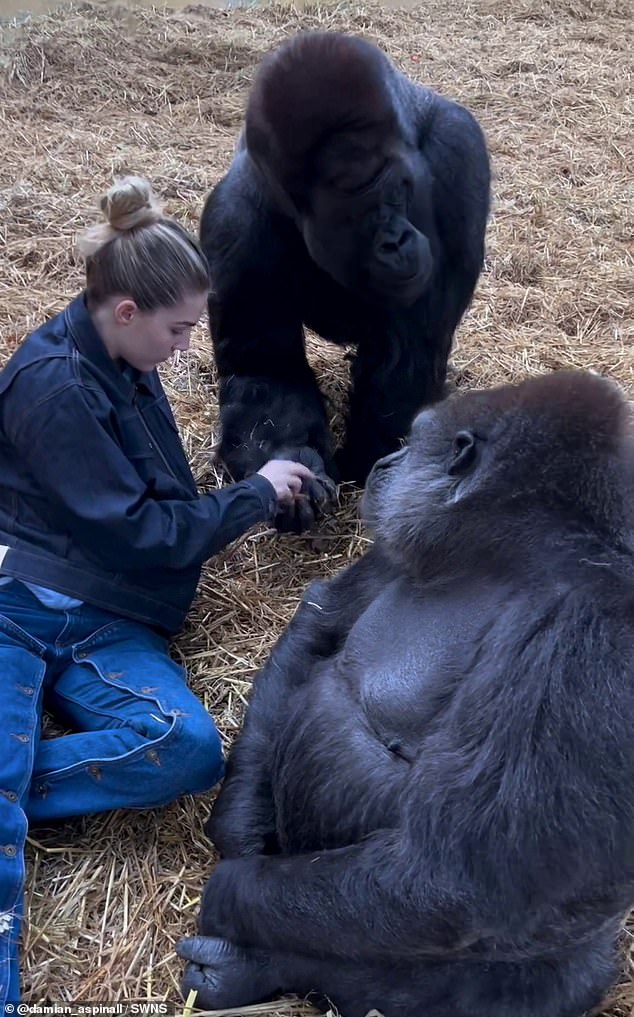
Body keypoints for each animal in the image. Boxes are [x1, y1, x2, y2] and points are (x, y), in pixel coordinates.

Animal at [175, 372, 634, 1016]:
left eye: (414, 440)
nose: (386, 461)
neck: (513, 553)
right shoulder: (404, 543)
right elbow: (319, 625)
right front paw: (241, 830)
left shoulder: (591, 636)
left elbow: (455, 878)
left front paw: (229, 891)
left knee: (546, 980)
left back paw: (255, 967)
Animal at [199, 29, 490, 532]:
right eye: (359, 212)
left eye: (396, 191)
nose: (395, 240)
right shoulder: (233, 220)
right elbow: (266, 372)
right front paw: (293, 462)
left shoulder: (459, 157)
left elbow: (409, 354)